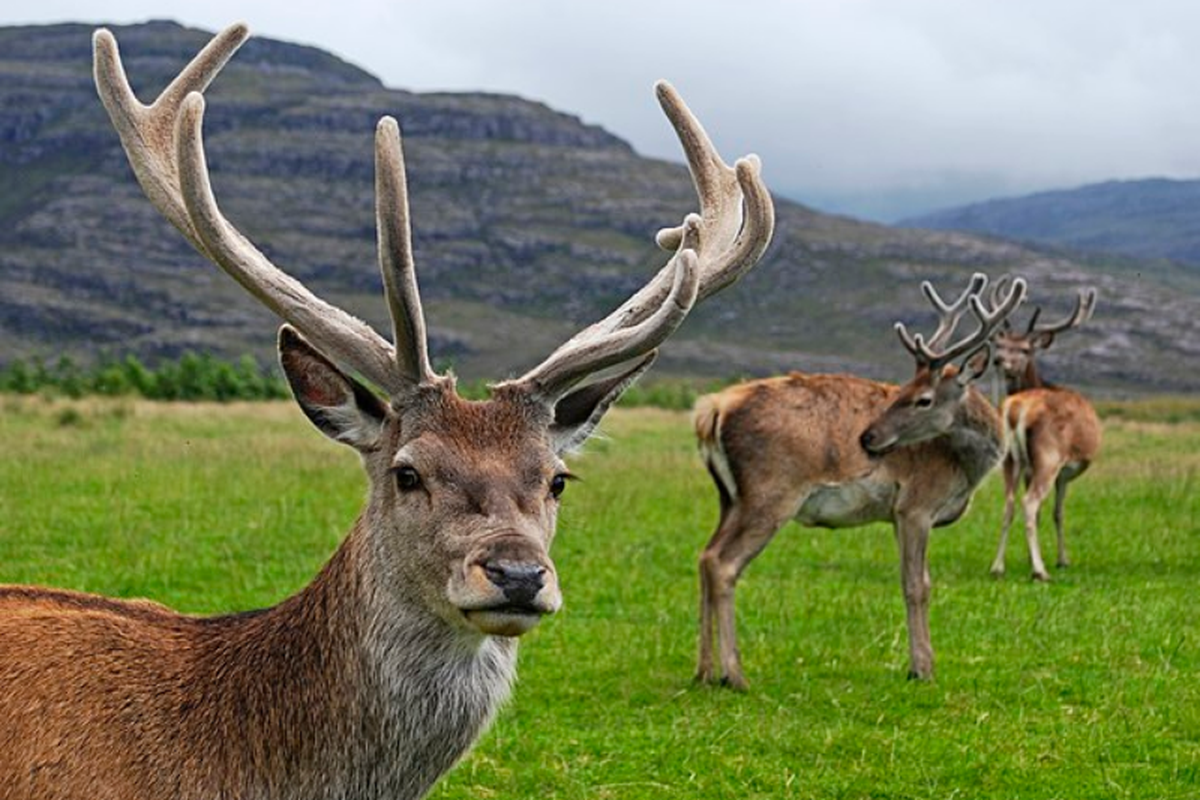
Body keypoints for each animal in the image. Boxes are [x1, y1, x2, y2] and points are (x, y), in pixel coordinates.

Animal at [696, 275, 1022, 690]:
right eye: (902, 391)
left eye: (922, 398)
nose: (867, 438)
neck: (964, 468)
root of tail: (711, 411)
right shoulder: (916, 505)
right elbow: (917, 585)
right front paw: (922, 668)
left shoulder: (899, 515)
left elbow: (918, 580)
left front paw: (920, 663)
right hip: (770, 492)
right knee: (723, 563)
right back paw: (734, 674)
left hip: (729, 496)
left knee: (705, 555)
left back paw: (704, 671)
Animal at [988, 283, 1099, 582]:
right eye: (1000, 345)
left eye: (1025, 349)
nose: (999, 361)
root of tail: (1017, 408)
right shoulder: (1064, 472)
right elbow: (1057, 513)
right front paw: (1061, 559)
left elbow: (1044, 514)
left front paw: (1030, 557)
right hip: (1048, 456)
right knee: (1029, 503)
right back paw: (1040, 571)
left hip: (1010, 459)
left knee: (1008, 504)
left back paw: (997, 566)